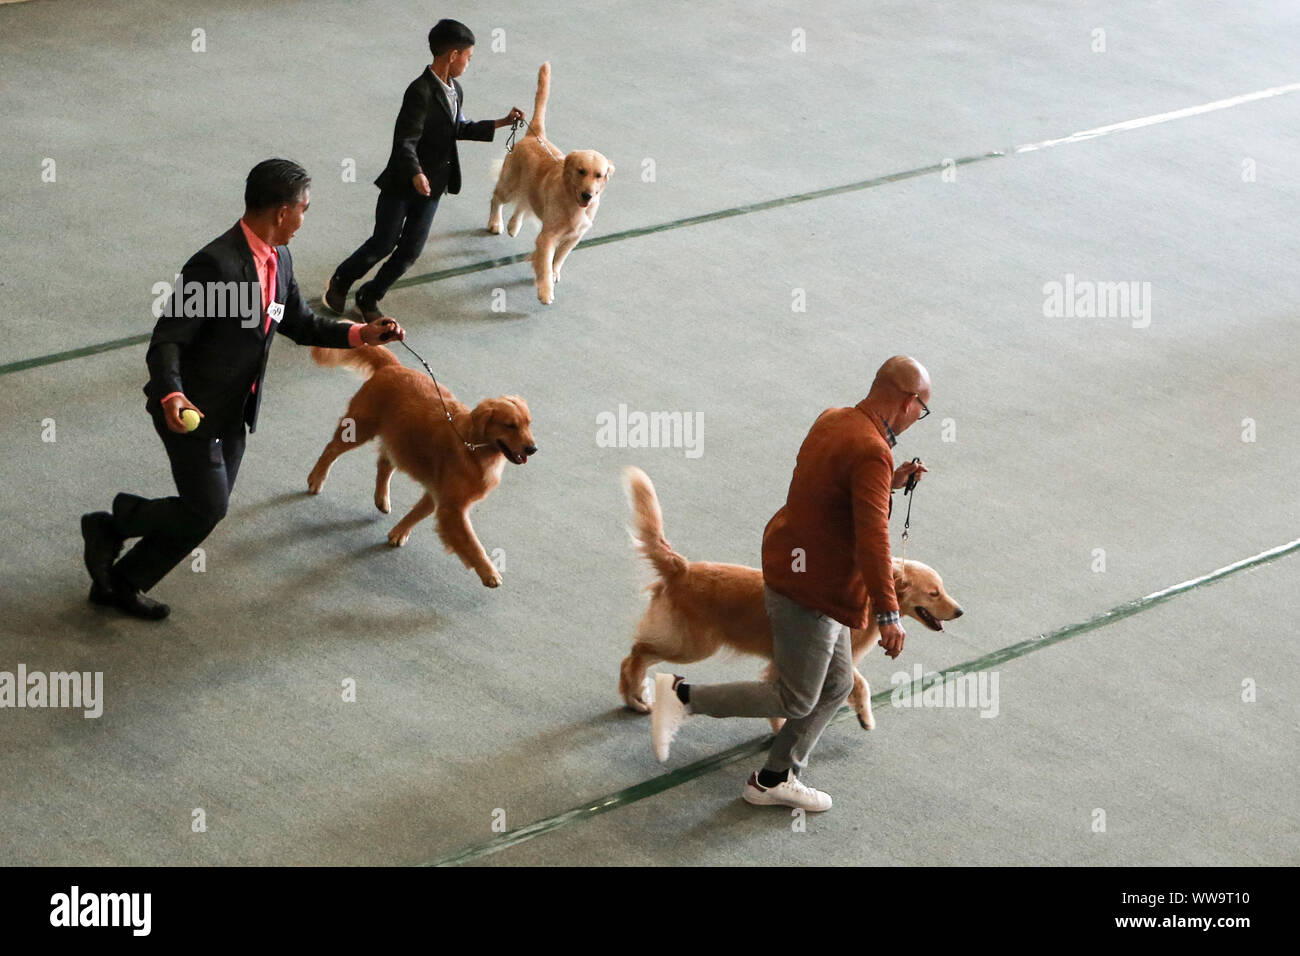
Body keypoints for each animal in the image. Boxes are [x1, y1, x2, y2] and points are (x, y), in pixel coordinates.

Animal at [306, 343, 535, 582]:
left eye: (528, 424)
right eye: (510, 425)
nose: (533, 448)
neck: (473, 446)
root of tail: (392, 366)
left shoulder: (437, 494)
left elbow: (417, 513)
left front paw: (399, 532)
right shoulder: (452, 507)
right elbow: (472, 543)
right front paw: (489, 572)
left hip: (399, 441)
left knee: (384, 463)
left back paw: (382, 499)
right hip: (360, 427)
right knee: (331, 450)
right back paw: (316, 479)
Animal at [488, 62, 613, 303]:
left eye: (599, 175)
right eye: (581, 171)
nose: (588, 195)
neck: (572, 201)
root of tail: (533, 135)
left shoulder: (575, 236)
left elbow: (560, 257)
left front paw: (555, 273)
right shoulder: (548, 236)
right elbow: (545, 261)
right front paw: (545, 291)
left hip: (529, 188)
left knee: (522, 204)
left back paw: (513, 226)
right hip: (510, 183)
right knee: (496, 198)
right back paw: (495, 223)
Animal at [613, 470, 961, 733]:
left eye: (942, 588)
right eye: (934, 592)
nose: (960, 611)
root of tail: (681, 567)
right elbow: (855, 685)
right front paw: (863, 716)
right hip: (694, 645)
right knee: (636, 654)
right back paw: (635, 697)